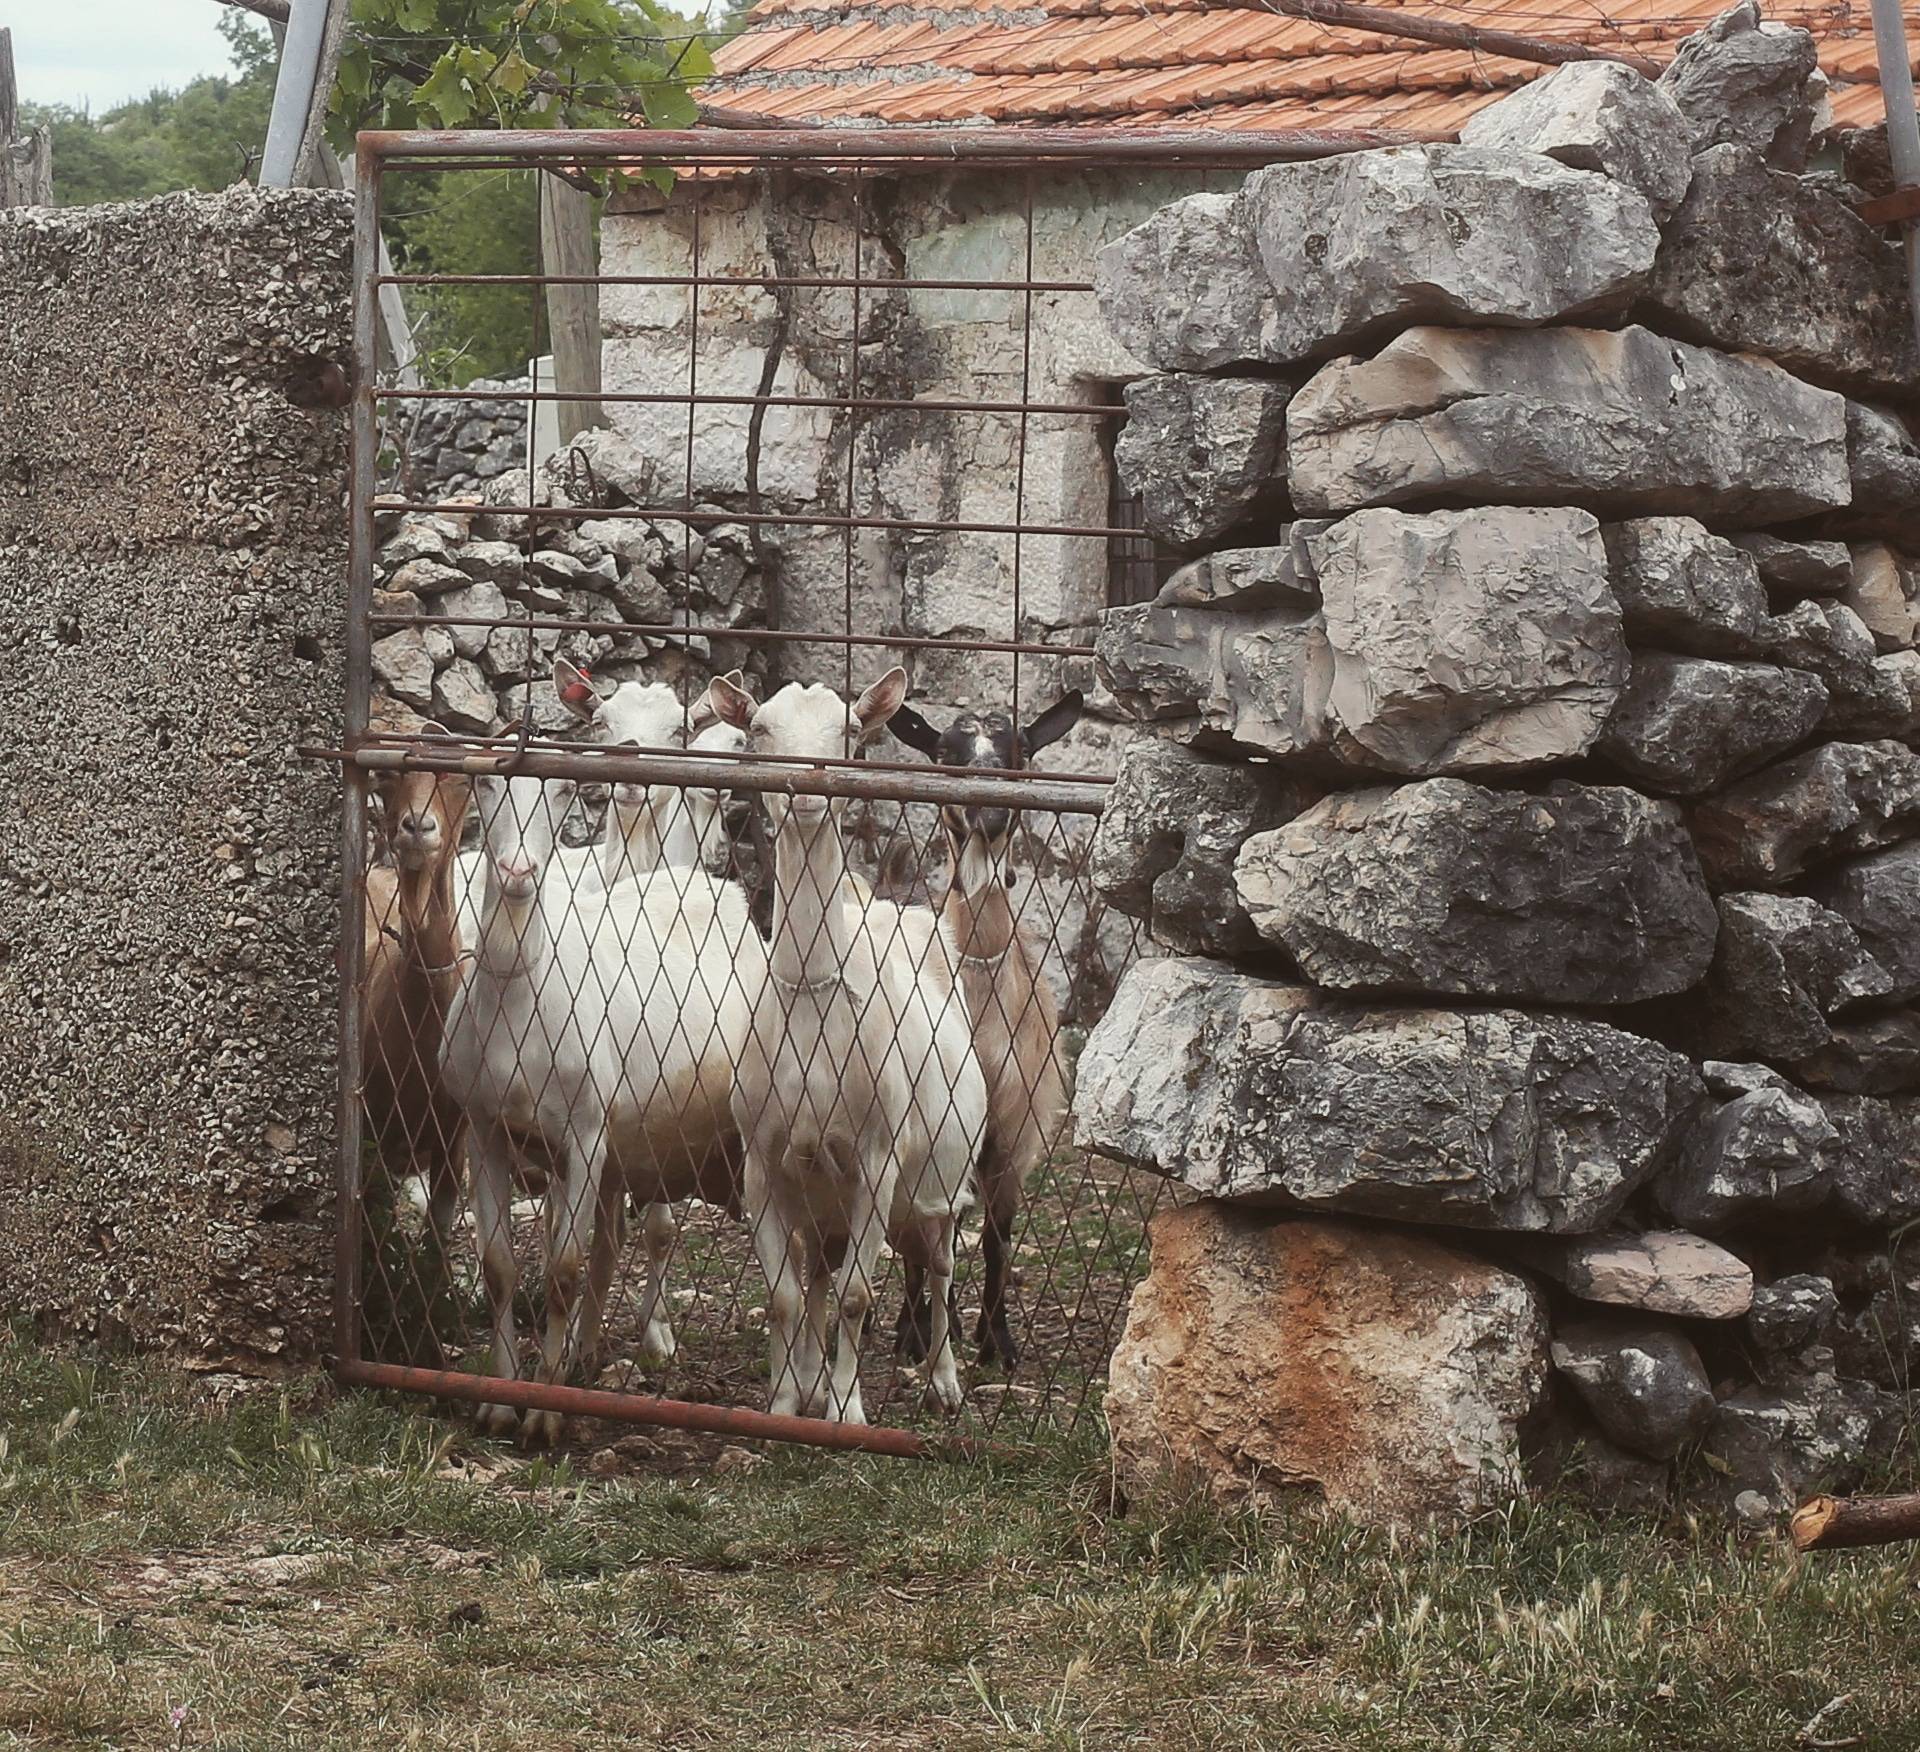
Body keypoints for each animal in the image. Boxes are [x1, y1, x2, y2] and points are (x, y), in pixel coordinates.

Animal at [706, 671, 990, 1420]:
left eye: (849, 731)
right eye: (759, 730)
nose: (808, 792)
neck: (812, 999)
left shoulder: (877, 1158)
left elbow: (861, 1295)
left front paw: (847, 1412)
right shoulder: (763, 1159)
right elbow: (784, 1294)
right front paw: (785, 1405)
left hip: (942, 1181)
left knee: (940, 1262)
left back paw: (944, 1383)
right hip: (819, 1199)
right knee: (817, 1273)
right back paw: (808, 1378)